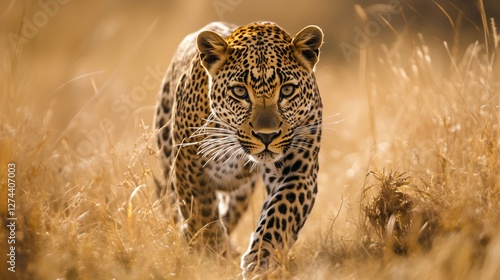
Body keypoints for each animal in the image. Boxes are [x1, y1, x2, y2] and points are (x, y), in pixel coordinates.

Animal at [153, 20, 324, 276]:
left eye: (287, 90)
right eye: (240, 91)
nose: (266, 135)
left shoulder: (299, 169)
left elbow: (280, 213)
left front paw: (260, 260)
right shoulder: (188, 164)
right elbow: (202, 214)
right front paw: (213, 256)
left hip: (242, 192)